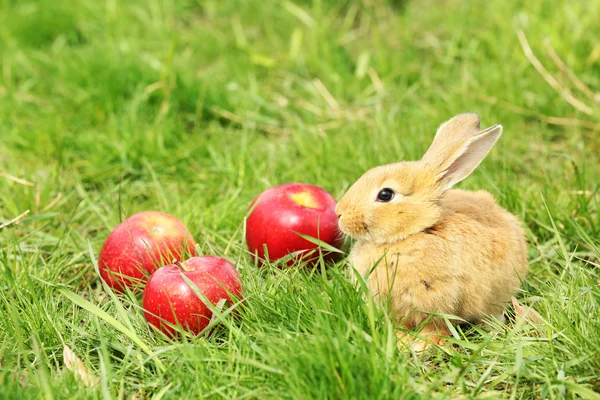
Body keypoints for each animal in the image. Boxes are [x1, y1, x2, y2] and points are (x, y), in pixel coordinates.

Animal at [336, 113, 528, 350]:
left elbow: (435, 327)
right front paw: (400, 341)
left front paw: (423, 345)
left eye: (385, 195)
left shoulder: (439, 301)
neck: (415, 232)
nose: (339, 213)